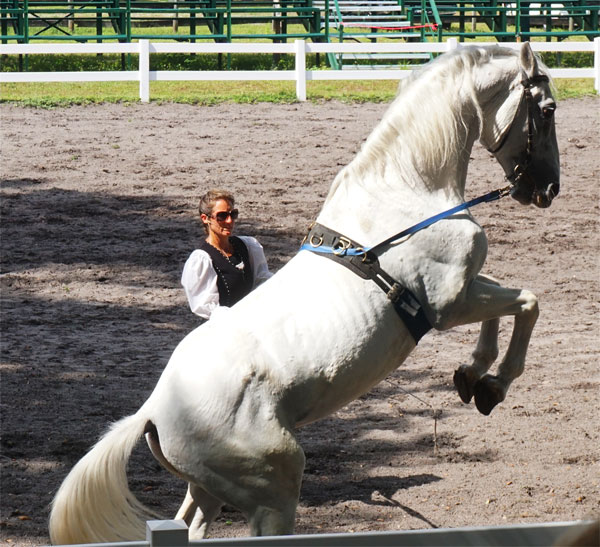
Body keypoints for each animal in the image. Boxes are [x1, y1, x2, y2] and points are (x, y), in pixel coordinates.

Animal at [50, 42, 556, 544]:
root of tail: (154, 410)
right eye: (547, 109)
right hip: (273, 490)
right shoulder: (450, 304)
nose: (548, 189)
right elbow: (527, 302)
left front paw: (473, 376)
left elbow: (508, 303)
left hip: (207, 490)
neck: (409, 193)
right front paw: (494, 382)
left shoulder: (465, 289)